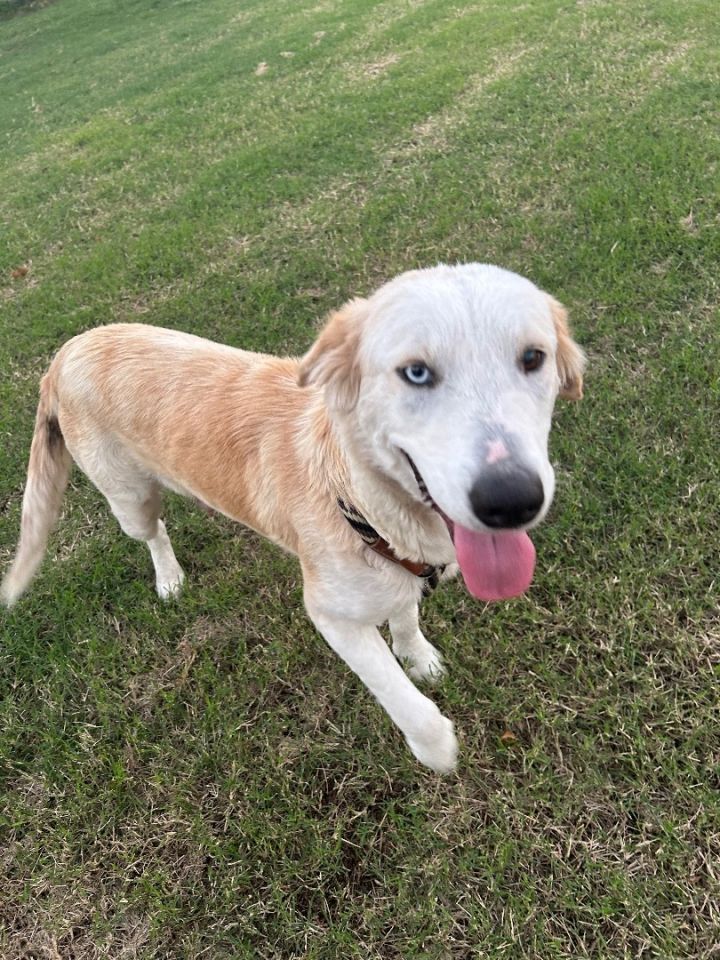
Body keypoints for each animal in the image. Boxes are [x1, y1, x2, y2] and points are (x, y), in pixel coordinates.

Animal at [1, 262, 584, 772]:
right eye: (415, 373)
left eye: (533, 358)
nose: (510, 499)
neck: (363, 500)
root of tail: (63, 355)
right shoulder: (330, 615)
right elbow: (395, 691)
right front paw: (435, 747)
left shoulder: (401, 572)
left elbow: (405, 618)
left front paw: (418, 656)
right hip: (129, 499)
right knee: (154, 533)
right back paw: (168, 578)